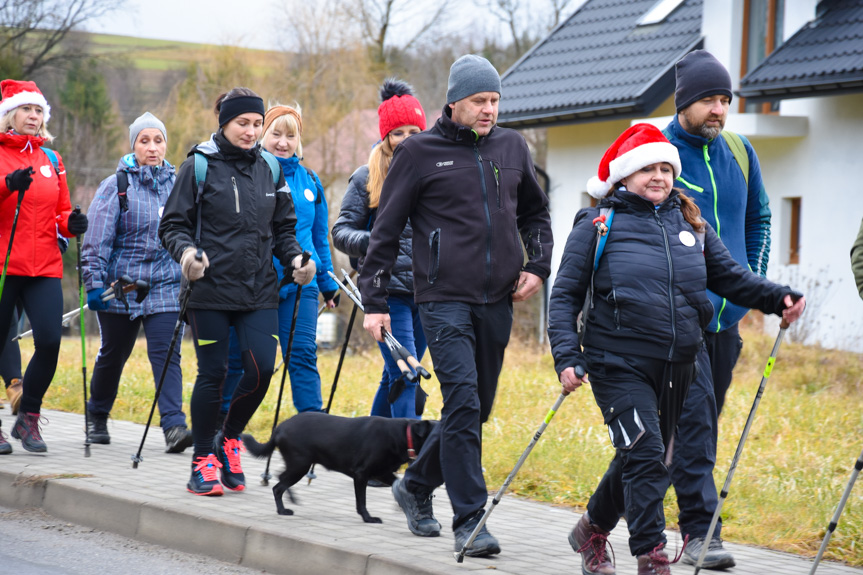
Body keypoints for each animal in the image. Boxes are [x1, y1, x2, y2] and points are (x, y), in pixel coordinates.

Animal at [243, 412, 436, 524]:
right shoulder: (361, 474)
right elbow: (361, 500)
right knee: (278, 487)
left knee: (279, 476)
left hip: (297, 465)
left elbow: (399, 483)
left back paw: (291, 499)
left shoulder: (382, 473)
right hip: (300, 465)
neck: (404, 434)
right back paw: (282, 510)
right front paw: (368, 518)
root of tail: (279, 428)